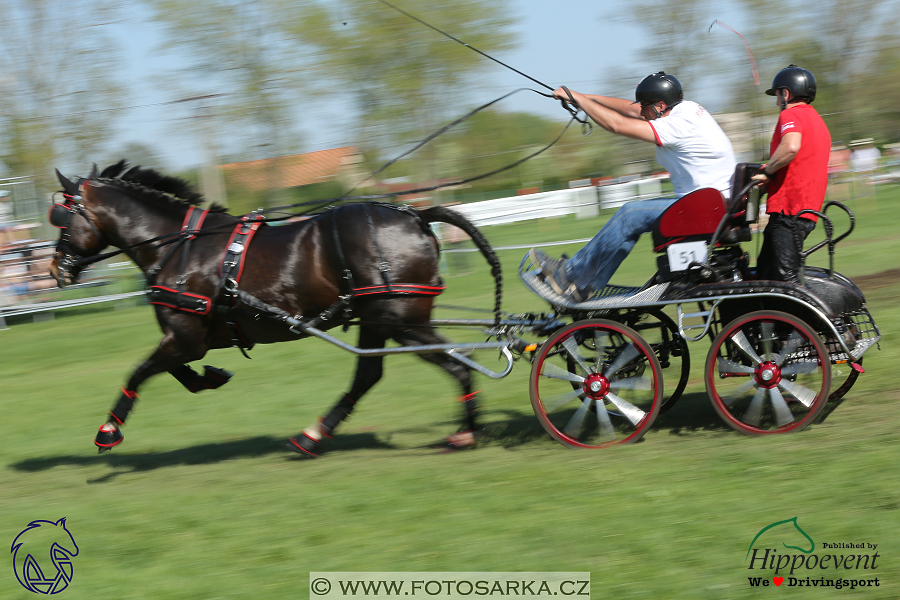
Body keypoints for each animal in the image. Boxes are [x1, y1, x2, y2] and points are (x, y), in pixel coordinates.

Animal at [51, 162, 500, 458]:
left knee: (455, 362)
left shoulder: (185, 337)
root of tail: (417, 215)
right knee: (371, 373)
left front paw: (109, 430)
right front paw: (210, 377)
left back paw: (465, 431)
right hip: (378, 320)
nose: (56, 268)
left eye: (61, 217)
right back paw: (313, 434)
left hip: (400, 321)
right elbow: (177, 373)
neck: (179, 247)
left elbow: (140, 372)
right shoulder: (189, 339)